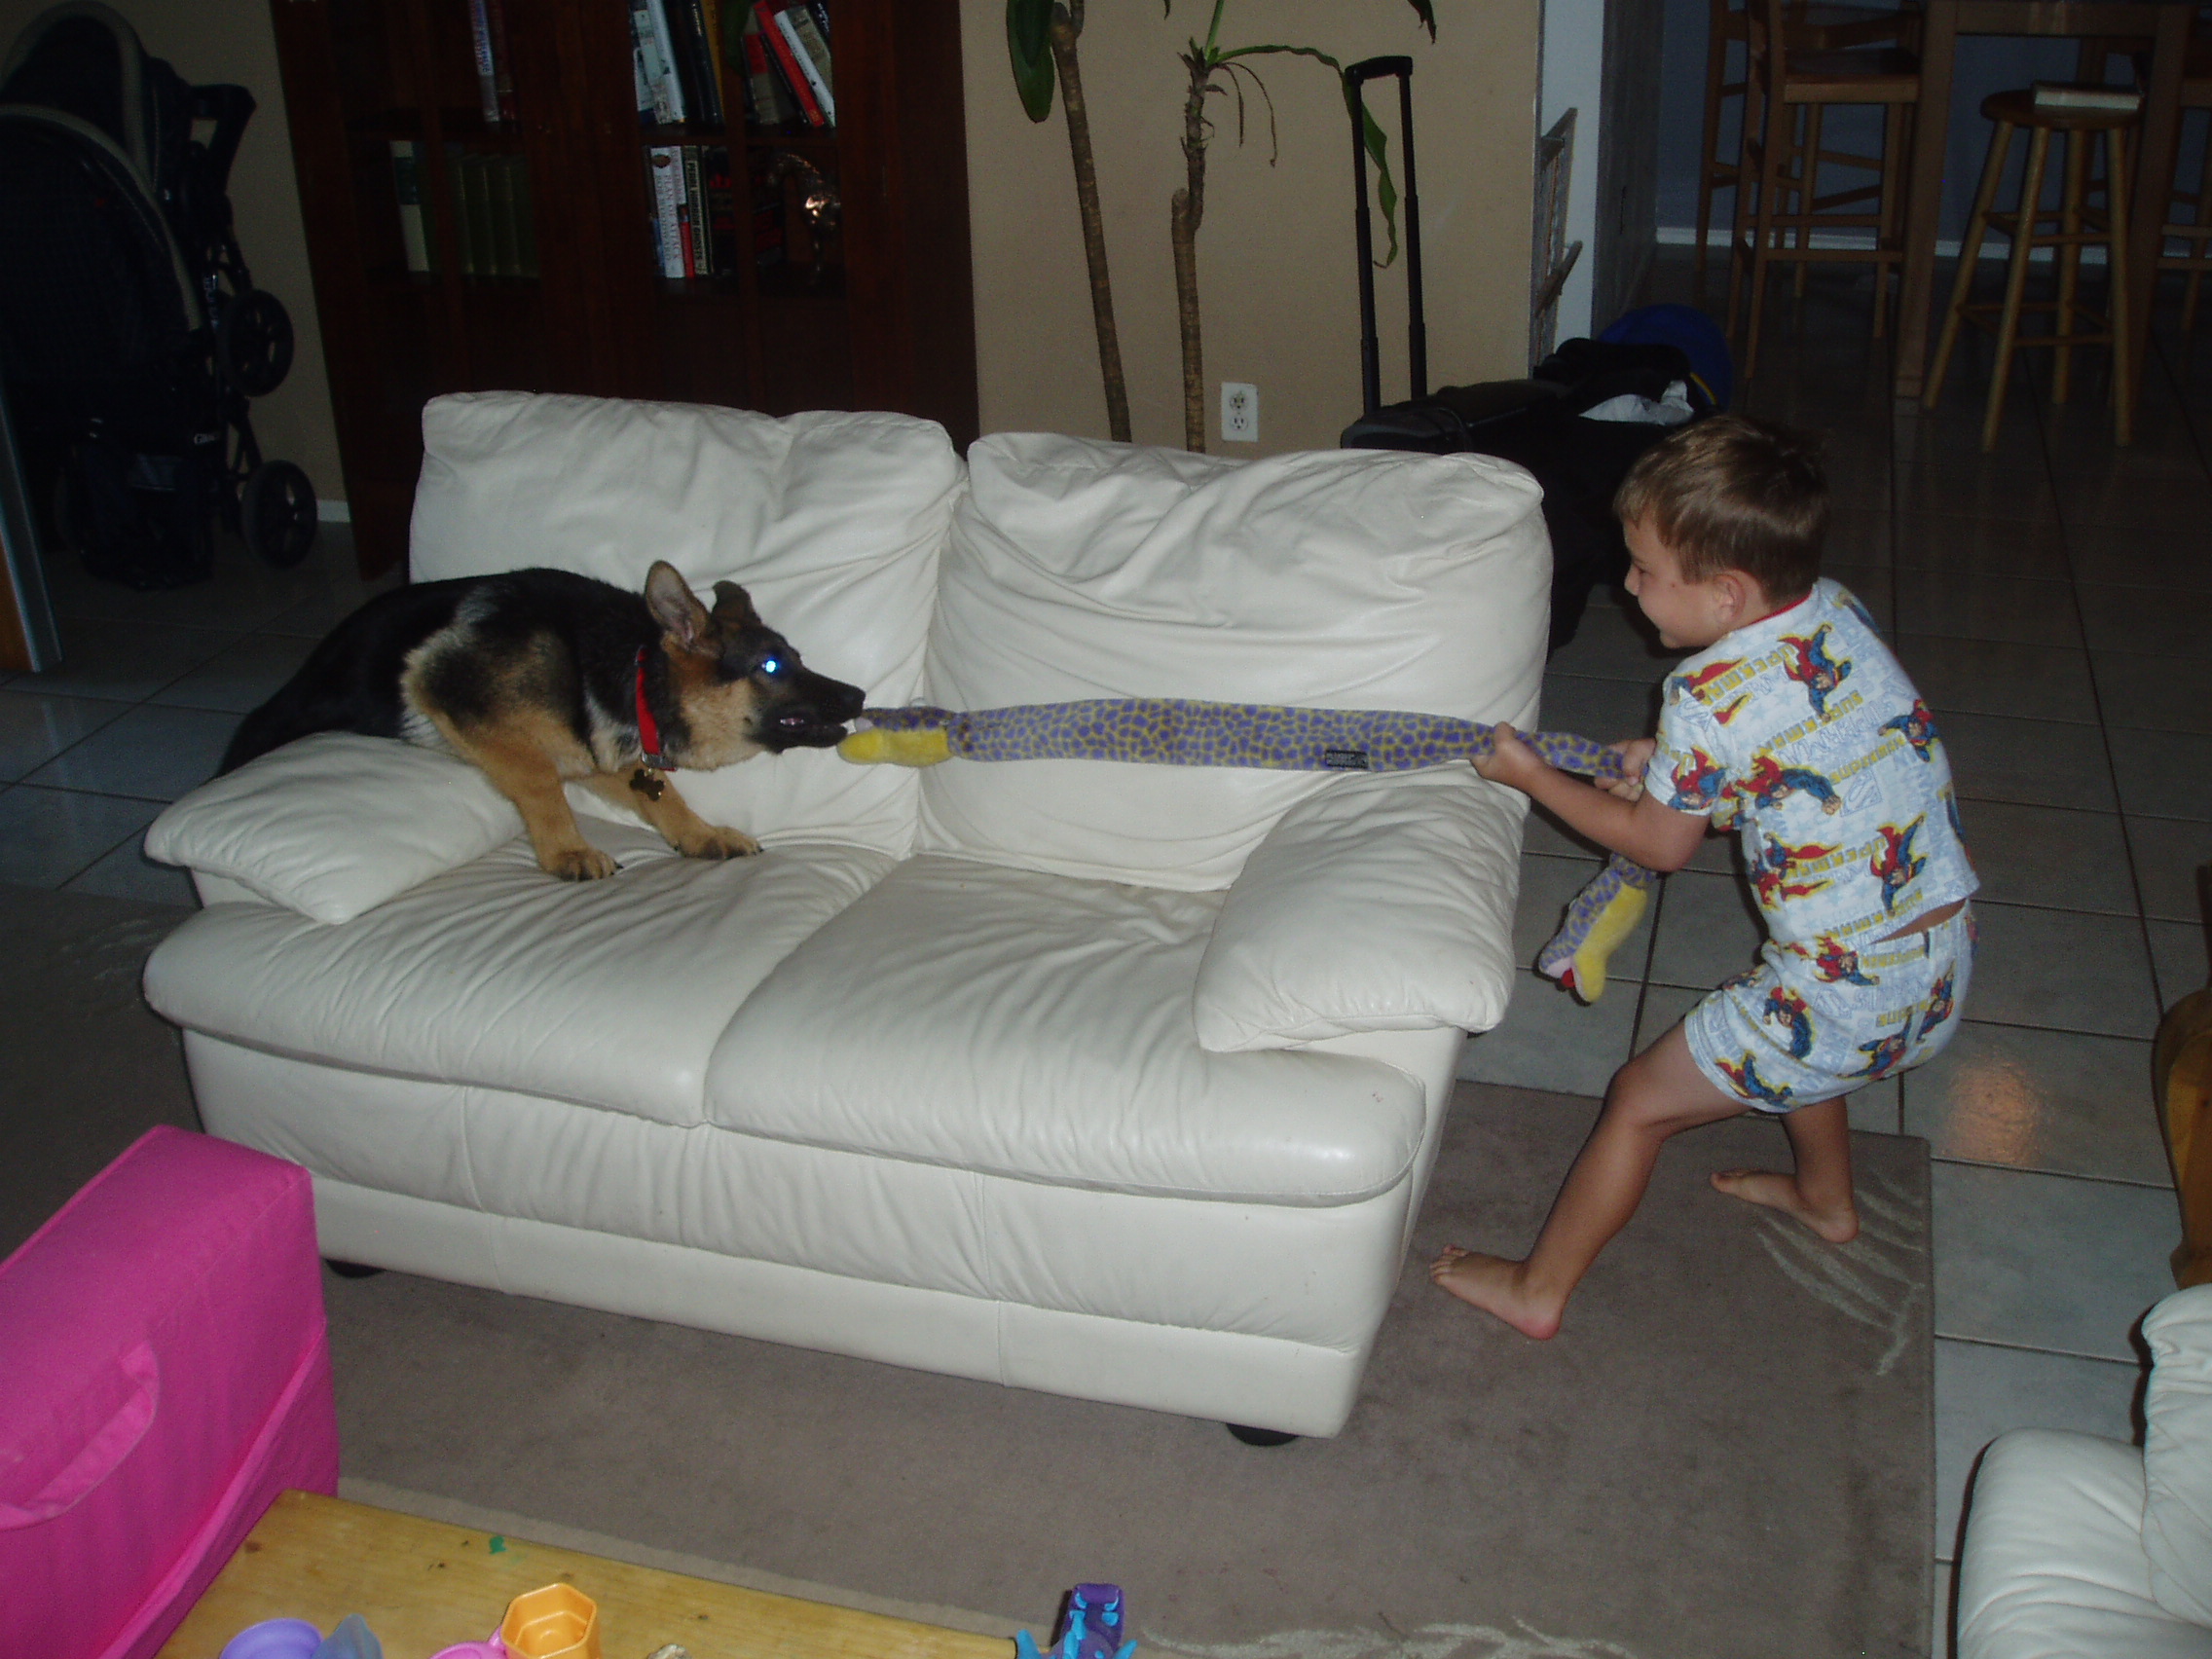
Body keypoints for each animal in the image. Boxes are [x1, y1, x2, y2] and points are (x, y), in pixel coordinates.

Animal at [221, 561, 865, 880]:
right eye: (772, 666)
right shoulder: (439, 686)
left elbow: (660, 793)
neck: (629, 676)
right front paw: (565, 850)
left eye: (797, 657)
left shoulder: (597, 751)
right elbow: (537, 779)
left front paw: (700, 834)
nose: (859, 696)